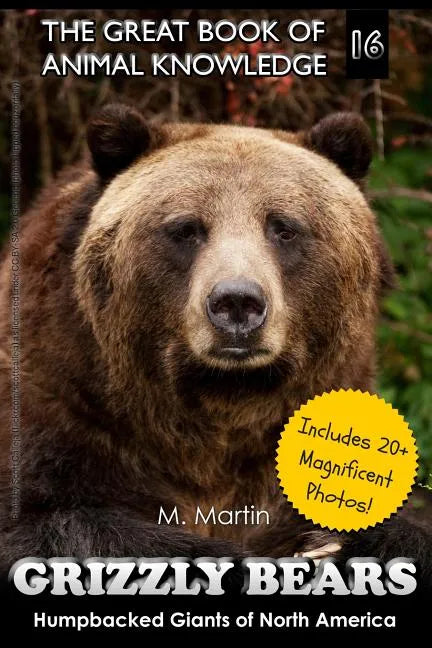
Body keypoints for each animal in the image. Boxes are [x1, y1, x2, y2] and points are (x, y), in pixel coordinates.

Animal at [0, 104, 431, 588]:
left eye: (284, 227)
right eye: (187, 228)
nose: (237, 302)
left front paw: (334, 544)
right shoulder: (64, 411)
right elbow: (55, 524)